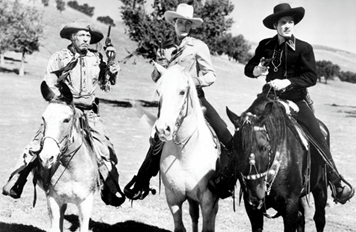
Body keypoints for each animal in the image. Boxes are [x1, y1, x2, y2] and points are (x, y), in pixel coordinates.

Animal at [35, 80, 98, 232]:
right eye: (43, 118)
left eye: (66, 120)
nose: (46, 158)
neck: (71, 169)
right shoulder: (53, 200)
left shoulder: (86, 204)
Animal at [155, 63, 220, 232]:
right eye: (158, 91)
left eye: (182, 92)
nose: (163, 129)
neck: (185, 153)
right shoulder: (173, 197)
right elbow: (180, 227)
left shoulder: (208, 199)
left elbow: (207, 227)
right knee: (193, 215)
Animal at [228, 94, 328, 232]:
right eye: (235, 147)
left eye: (264, 147)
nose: (255, 194)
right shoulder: (252, 209)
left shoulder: (290, 205)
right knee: (301, 217)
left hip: (320, 187)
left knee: (319, 218)